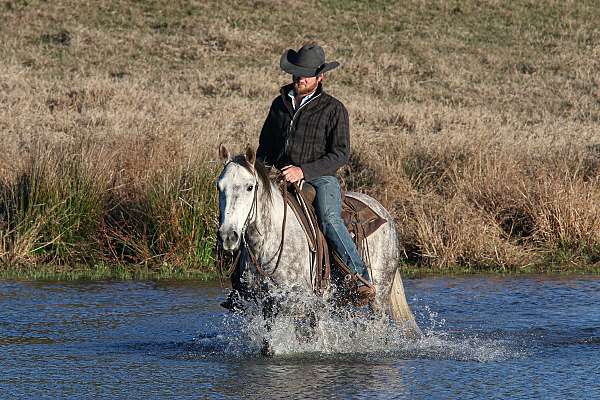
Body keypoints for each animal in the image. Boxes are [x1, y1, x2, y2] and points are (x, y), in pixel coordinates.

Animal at [217, 144, 422, 340]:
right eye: (219, 186)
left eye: (250, 187)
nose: (228, 235)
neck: (268, 246)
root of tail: (382, 211)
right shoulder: (268, 305)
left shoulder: (304, 304)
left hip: (379, 294)